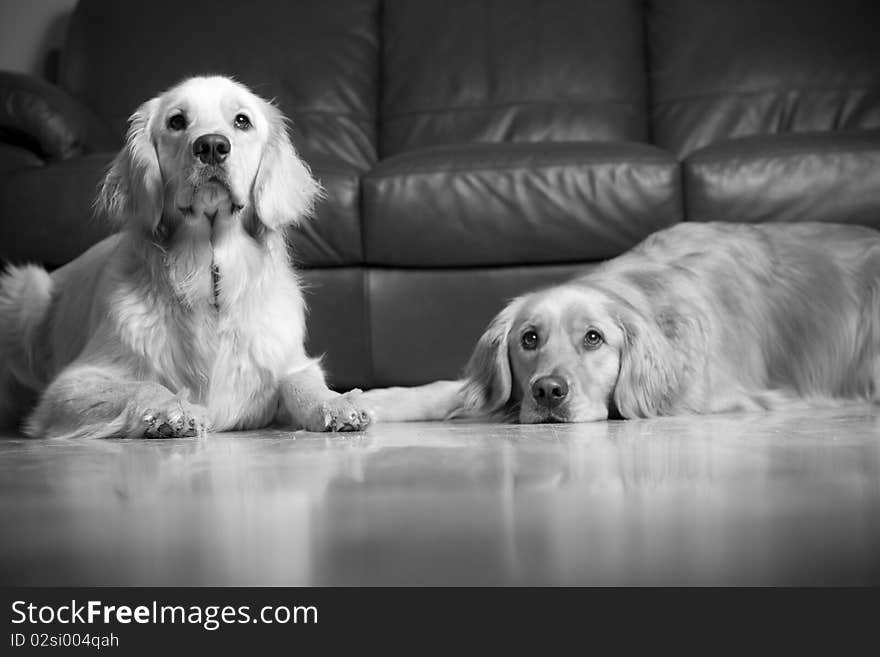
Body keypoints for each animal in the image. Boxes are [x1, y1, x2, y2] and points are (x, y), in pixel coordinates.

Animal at [0, 75, 372, 436]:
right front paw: (171, 410)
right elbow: (143, 386)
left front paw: (337, 403)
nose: (212, 146)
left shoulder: (289, 360)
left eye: (242, 120)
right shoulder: (70, 385)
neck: (211, 276)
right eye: (176, 121)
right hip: (25, 289)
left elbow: (301, 382)